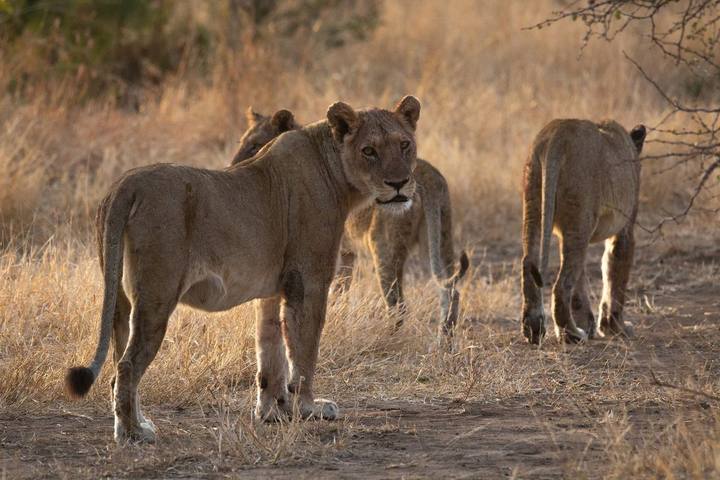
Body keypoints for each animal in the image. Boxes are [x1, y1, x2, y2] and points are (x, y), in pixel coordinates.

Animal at [65, 96, 423, 444]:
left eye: (404, 145)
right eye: (369, 150)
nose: (399, 184)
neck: (334, 170)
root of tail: (126, 184)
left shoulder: (275, 289)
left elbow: (270, 350)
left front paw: (272, 412)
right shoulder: (309, 281)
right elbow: (304, 349)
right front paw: (308, 408)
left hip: (120, 298)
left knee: (117, 362)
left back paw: (136, 424)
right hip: (157, 294)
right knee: (126, 367)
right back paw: (133, 434)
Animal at [233, 109, 469, 336]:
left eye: (254, 145)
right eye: (241, 142)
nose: (233, 164)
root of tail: (428, 177)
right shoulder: (347, 252)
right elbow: (341, 290)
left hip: (384, 248)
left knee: (398, 305)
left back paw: (388, 338)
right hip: (438, 240)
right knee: (450, 289)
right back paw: (444, 342)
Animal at [520, 119, 646, 344]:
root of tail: (557, 134)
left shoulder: (568, 231)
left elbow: (581, 282)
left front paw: (588, 324)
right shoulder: (625, 229)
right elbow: (615, 274)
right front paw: (615, 327)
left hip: (535, 207)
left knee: (529, 264)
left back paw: (534, 329)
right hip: (579, 219)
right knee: (561, 285)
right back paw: (572, 334)